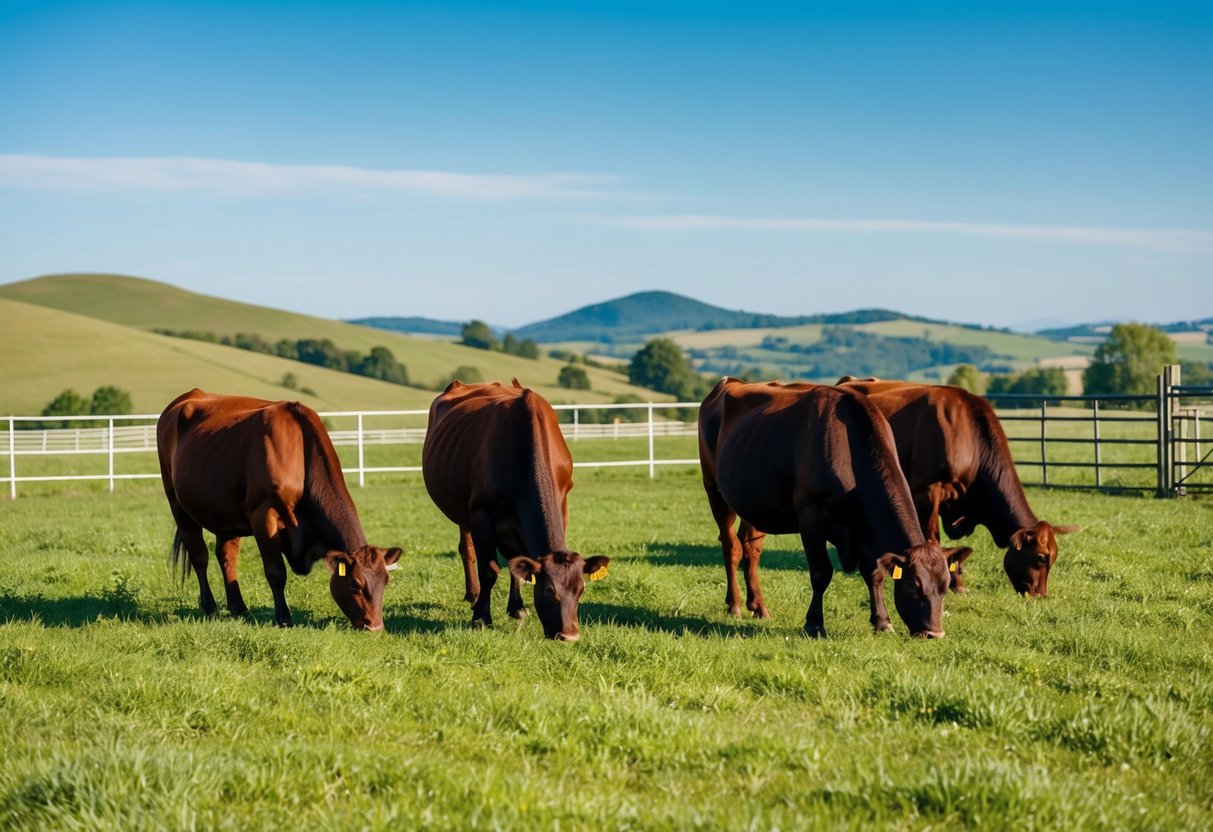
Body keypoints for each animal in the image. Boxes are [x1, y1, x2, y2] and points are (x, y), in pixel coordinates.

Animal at [154, 390, 402, 630]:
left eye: (386, 581)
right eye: (354, 582)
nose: (375, 626)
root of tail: (188, 396)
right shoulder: (264, 515)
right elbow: (276, 572)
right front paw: (283, 617)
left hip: (226, 511)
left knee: (226, 557)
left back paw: (239, 608)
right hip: (176, 502)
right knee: (199, 556)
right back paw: (210, 607)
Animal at [419, 380, 606, 640]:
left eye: (581, 590)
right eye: (549, 591)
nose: (570, 636)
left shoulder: (562, 501)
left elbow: (518, 564)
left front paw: (517, 608)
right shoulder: (481, 512)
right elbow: (489, 569)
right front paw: (481, 618)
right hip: (463, 509)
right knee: (467, 550)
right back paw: (473, 596)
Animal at [703, 378, 955, 640]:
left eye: (945, 586)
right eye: (913, 585)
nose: (934, 633)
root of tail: (731, 382)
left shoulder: (865, 530)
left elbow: (874, 572)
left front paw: (882, 622)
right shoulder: (810, 514)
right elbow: (821, 572)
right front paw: (814, 623)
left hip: (754, 500)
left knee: (751, 547)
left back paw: (759, 607)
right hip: (714, 489)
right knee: (731, 545)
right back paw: (734, 605)